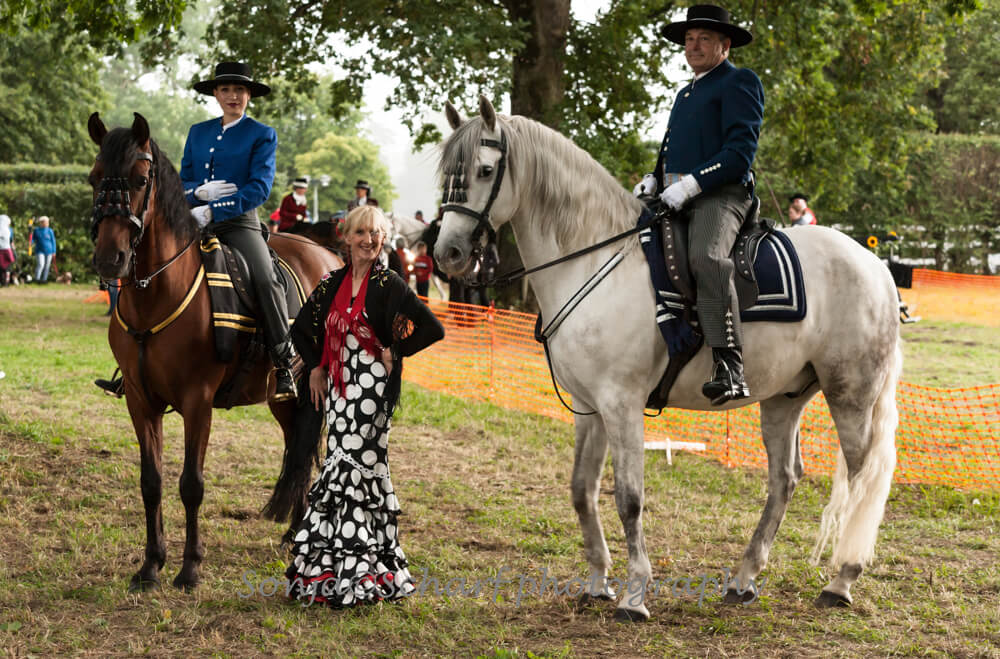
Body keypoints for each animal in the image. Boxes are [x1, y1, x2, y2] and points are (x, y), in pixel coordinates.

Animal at [87, 112, 342, 592]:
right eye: (94, 178)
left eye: (141, 178)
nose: (110, 259)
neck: (156, 293)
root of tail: (328, 254)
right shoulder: (139, 400)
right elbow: (151, 481)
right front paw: (151, 565)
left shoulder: (197, 400)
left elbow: (191, 484)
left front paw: (190, 568)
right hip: (286, 395)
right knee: (296, 447)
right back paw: (295, 532)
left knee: (307, 451)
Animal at [434, 97, 901, 622]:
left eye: (484, 169)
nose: (448, 252)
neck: (595, 261)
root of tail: (875, 265)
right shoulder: (590, 408)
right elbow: (582, 490)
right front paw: (597, 582)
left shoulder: (621, 404)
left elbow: (629, 497)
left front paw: (635, 594)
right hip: (784, 399)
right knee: (785, 479)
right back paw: (744, 578)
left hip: (852, 396)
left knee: (863, 478)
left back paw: (841, 580)